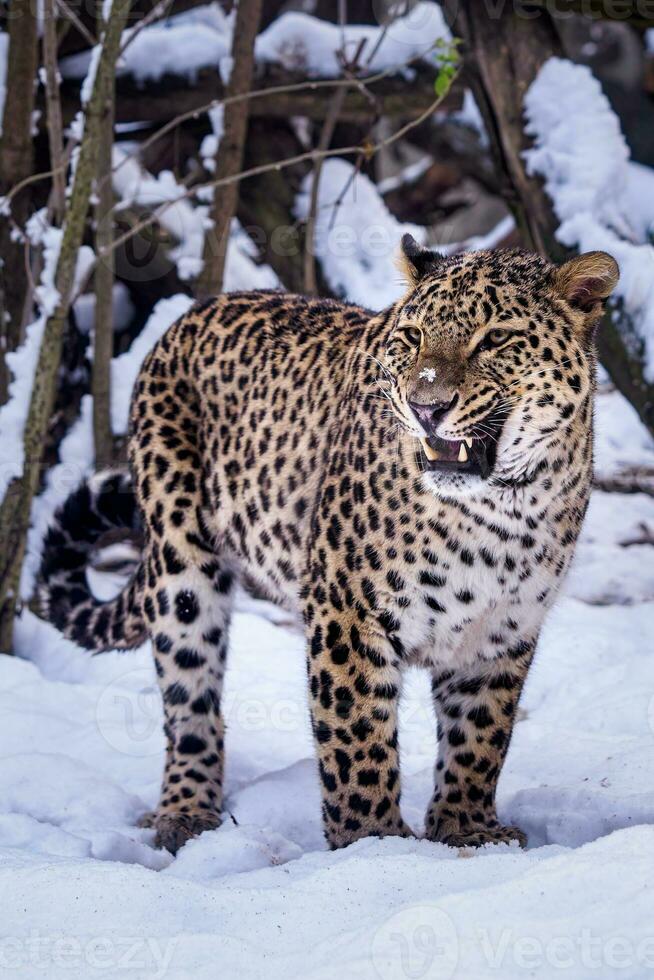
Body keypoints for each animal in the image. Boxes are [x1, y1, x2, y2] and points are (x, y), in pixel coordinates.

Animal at [38, 234, 624, 852]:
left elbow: (479, 737)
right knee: (188, 697)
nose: (426, 406)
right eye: (412, 337)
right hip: (182, 568)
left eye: (495, 339)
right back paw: (186, 812)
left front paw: (468, 831)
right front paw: (373, 845)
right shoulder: (349, 611)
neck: (502, 511)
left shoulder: (502, 632)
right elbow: (357, 736)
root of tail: (188, 316)